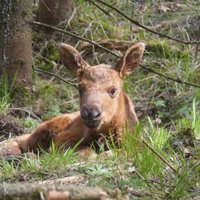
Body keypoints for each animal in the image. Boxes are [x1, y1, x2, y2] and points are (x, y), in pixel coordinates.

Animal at [0, 42, 144, 157]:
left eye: (113, 90)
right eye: (80, 88)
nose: (90, 114)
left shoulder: (137, 146)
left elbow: (116, 153)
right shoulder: (62, 140)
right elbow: (87, 151)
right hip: (50, 126)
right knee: (23, 139)